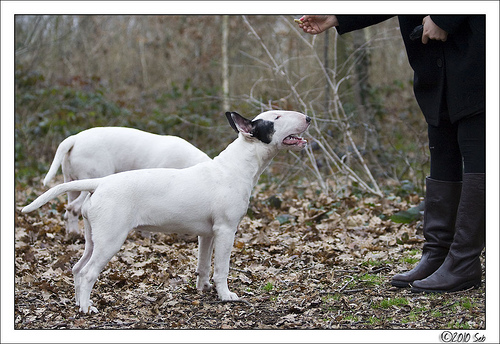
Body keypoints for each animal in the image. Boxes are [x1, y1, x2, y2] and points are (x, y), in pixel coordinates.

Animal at [40, 127, 209, 235]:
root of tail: (75, 139)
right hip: (91, 179)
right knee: (73, 208)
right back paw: (75, 233)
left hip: (71, 183)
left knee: (68, 211)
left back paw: (71, 233)